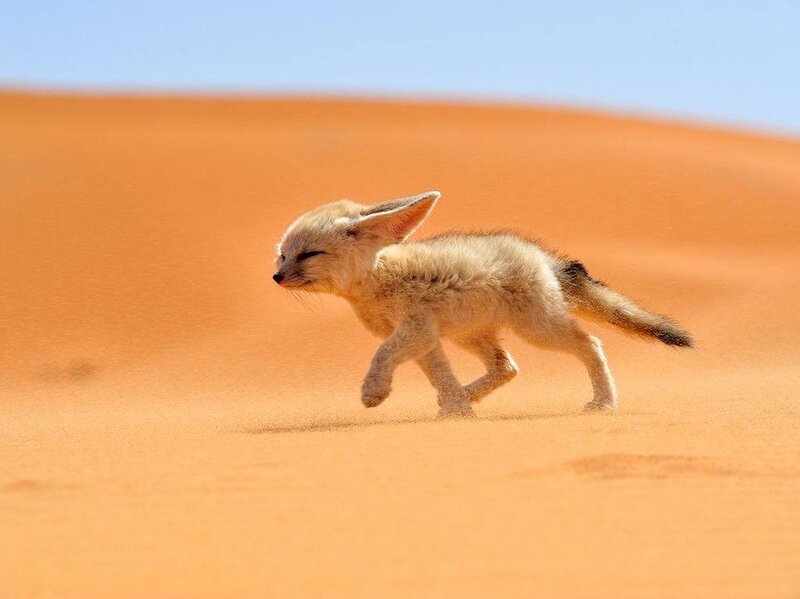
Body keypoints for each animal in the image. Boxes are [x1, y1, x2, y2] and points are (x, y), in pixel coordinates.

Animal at [273, 191, 692, 418]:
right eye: (282, 255)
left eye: (309, 254)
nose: (276, 277)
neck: (379, 278)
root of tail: (541, 256)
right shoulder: (426, 338)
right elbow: (441, 376)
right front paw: (458, 410)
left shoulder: (415, 330)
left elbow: (382, 355)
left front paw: (374, 392)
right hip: (470, 335)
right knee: (507, 367)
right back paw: (466, 396)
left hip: (538, 330)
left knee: (590, 343)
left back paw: (604, 402)